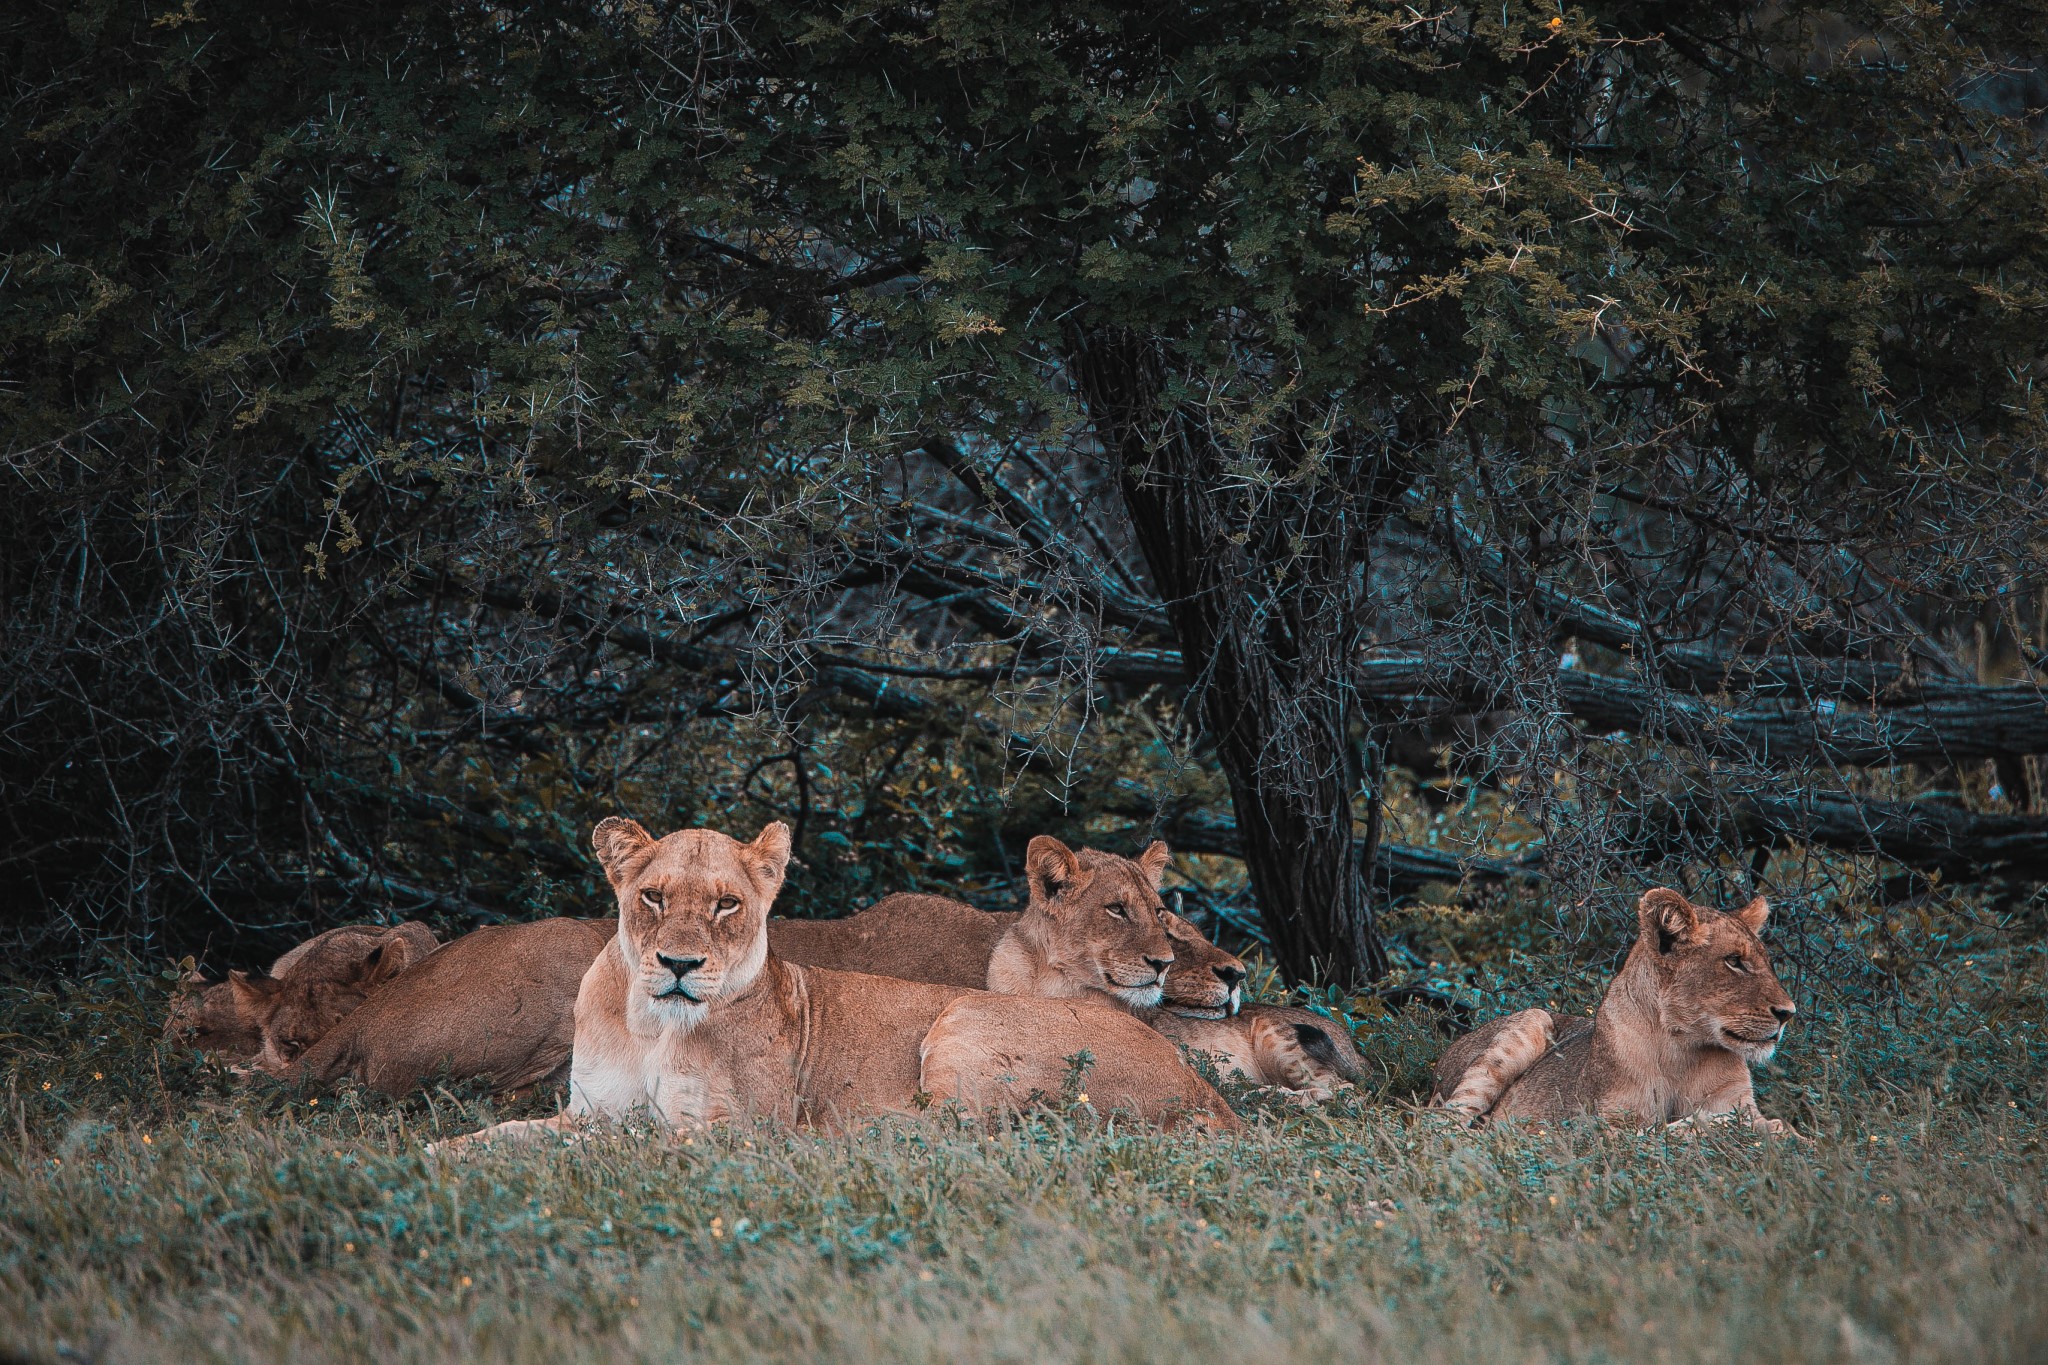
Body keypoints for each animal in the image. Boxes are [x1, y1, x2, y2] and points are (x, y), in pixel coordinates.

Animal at [436, 822, 1228, 1154]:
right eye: (653, 897)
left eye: (727, 905)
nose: (679, 964)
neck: (651, 1020)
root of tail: (1209, 1096)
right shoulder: (590, 1111)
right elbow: (501, 1135)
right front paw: (432, 1160)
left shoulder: (745, 1129)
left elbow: (636, 1146)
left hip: (962, 1019)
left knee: (966, 1136)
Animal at [1441, 888, 1794, 1129]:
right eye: (1734, 961)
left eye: (1766, 961)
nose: (1788, 1013)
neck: (1683, 1049)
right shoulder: (1608, 1126)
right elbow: (1668, 1132)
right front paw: (1722, 1124)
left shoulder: (1737, 1099)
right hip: (1530, 1021)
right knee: (1440, 1125)